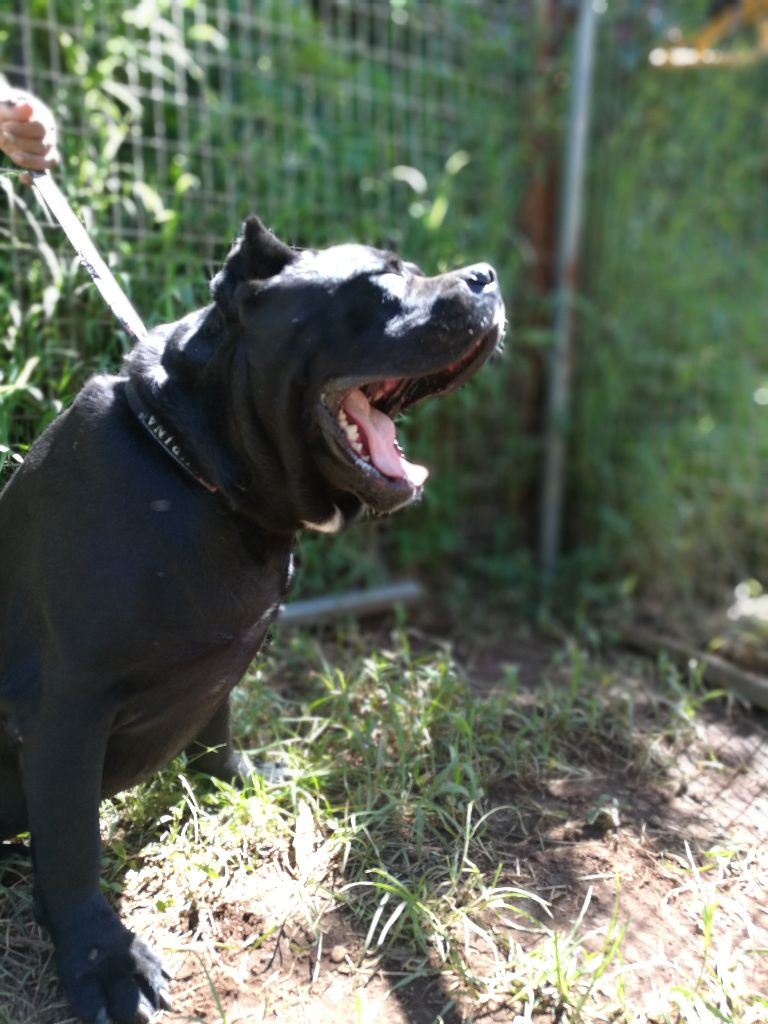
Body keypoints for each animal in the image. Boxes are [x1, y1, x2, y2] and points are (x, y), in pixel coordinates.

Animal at [0, 218, 505, 1024]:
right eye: (380, 284)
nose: (487, 274)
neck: (197, 472)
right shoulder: (64, 709)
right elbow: (76, 843)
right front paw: (104, 962)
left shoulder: (222, 658)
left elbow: (215, 725)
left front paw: (242, 778)